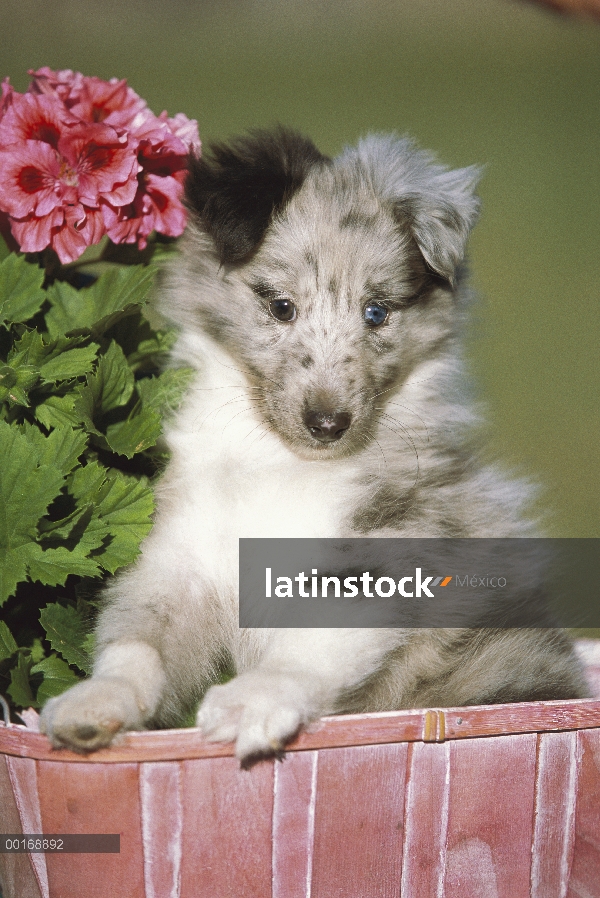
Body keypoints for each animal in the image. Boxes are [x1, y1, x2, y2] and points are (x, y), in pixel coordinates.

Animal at [41, 126, 584, 756]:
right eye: (281, 306)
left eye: (376, 312)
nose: (328, 424)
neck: (281, 462)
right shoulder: (182, 557)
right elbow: (138, 642)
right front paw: (94, 703)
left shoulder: (388, 546)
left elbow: (307, 642)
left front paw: (249, 703)